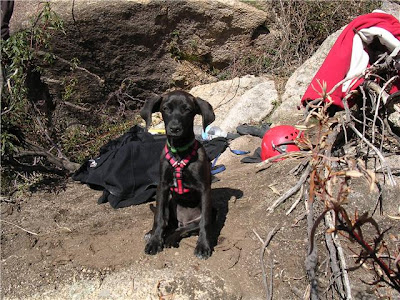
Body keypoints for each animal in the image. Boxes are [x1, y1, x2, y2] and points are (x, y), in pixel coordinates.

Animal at [141, 89, 216, 258]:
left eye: (187, 109)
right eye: (165, 109)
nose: (174, 128)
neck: (179, 152)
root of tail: (183, 220)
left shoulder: (205, 189)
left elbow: (205, 222)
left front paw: (203, 245)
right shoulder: (162, 187)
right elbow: (159, 218)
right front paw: (155, 241)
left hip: (208, 211)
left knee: (184, 229)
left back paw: (172, 238)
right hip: (169, 201)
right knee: (168, 222)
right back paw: (154, 234)